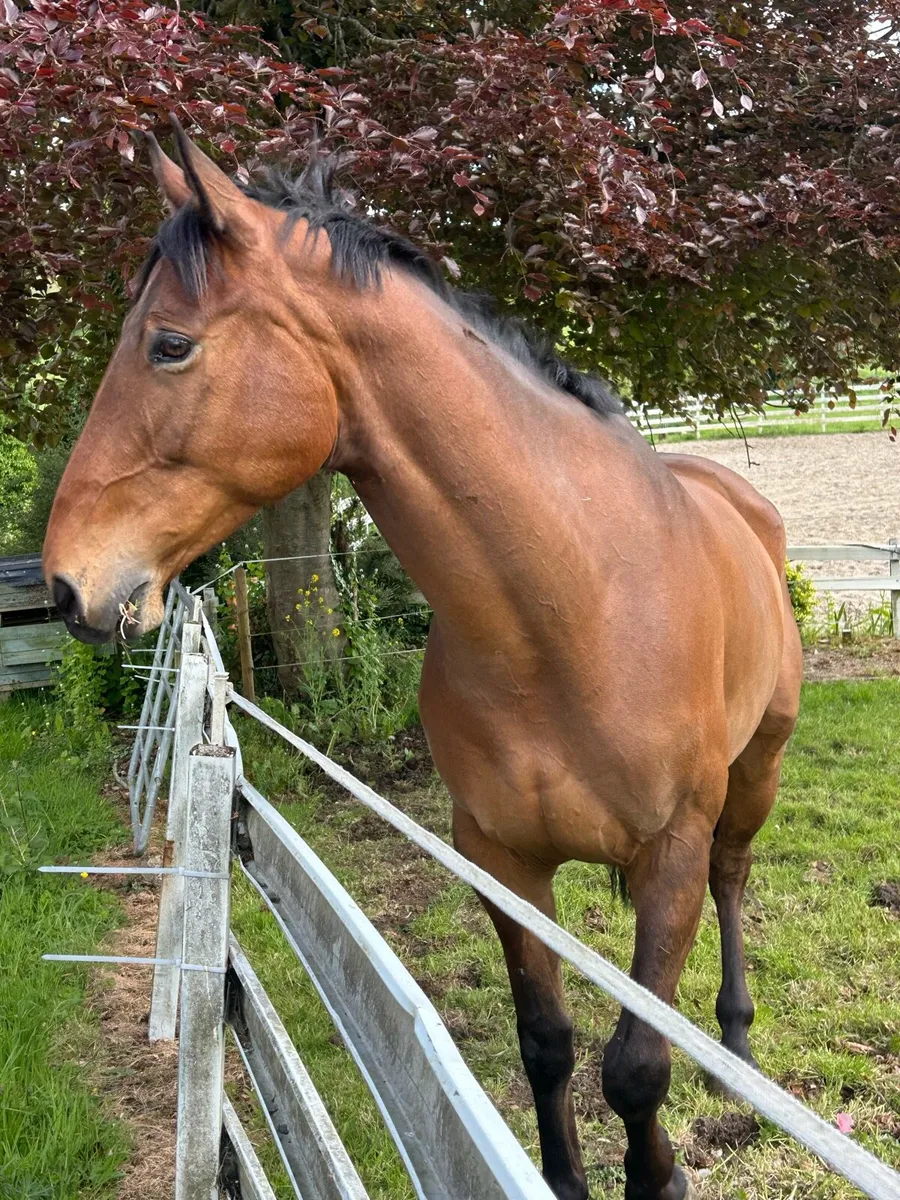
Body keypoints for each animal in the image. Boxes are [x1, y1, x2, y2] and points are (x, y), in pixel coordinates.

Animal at [43, 123, 802, 1200]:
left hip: (755, 774)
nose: (65, 584)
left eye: (170, 344)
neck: (577, 613)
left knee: (736, 879)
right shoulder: (499, 860)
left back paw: (735, 1048)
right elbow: (547, 1042)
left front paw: (661, 1176)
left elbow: (637, 1065)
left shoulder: (670, 857)